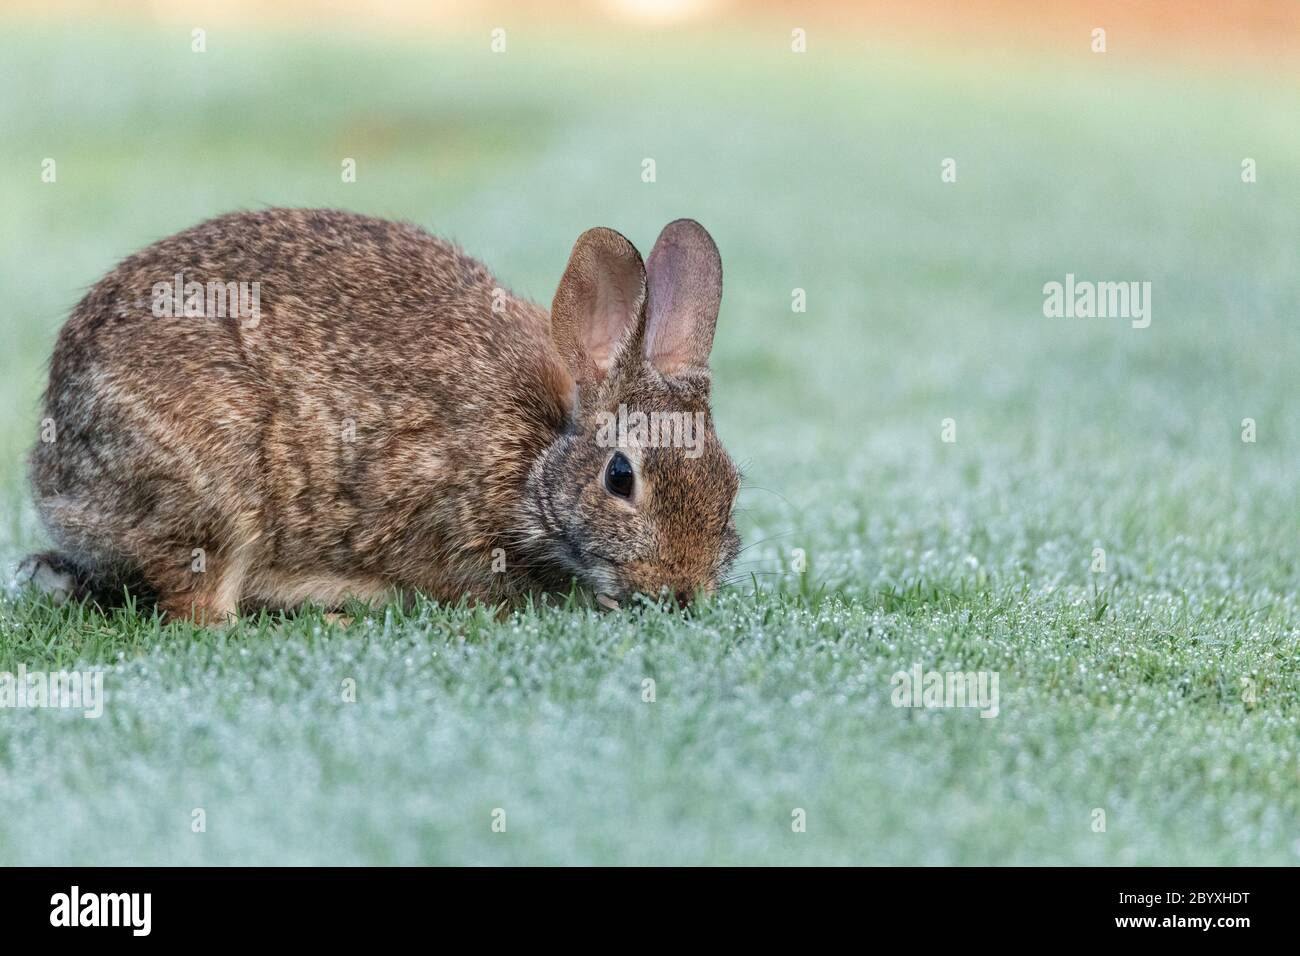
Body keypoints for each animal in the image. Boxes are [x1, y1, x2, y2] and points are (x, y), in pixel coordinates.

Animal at [22, 209, 743, 624]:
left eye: (730, 484)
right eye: (621, 477)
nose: (682, 592)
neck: (538, 452)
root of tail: (54, 475)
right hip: (208, 498)